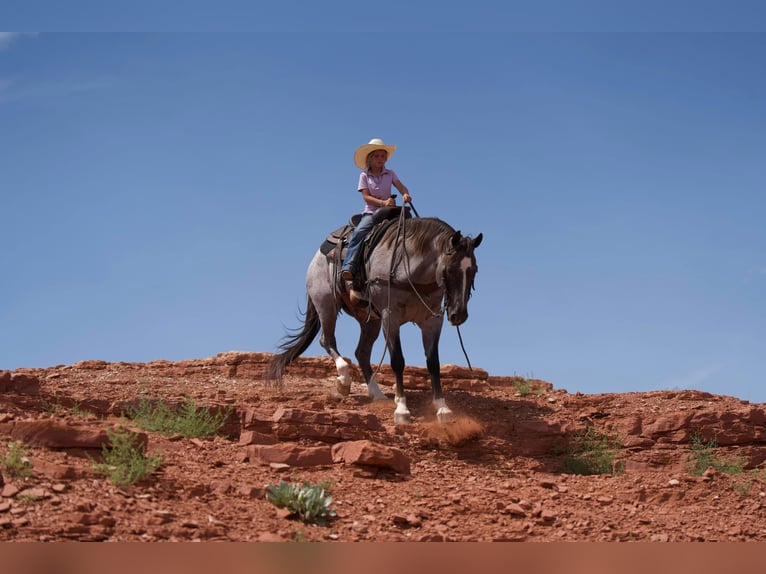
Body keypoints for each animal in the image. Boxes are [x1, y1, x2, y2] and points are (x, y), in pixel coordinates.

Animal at [267, 210, 482, 424]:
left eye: (474, 270)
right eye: (450, 269)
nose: (458, 314)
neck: (410, 269)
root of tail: (317, 258)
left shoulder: (432, 320)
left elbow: (433, 363)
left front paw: (442, 408)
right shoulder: (390, 317)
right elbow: (397, 361)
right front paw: (402, 410)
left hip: (370, 321)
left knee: (361, 352)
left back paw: (377, 393)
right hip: (326, 305)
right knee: (327, 340)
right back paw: (344, 380)